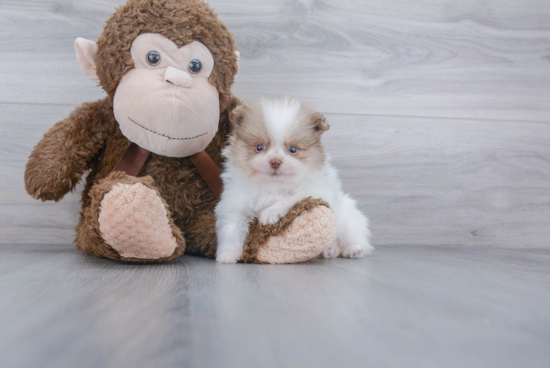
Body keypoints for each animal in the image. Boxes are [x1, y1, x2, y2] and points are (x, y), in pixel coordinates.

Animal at [216, 96, 376, 264]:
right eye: (259, 147)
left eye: (292, 150)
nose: (275, 161)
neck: (272, 185)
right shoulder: (235, 205)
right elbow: (231, 229)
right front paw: (227, 255)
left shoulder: (315, 191)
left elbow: (290, 197)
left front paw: (269, 214)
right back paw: (330, 249)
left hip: (348, 220)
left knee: (357, 240)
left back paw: (354, 250)